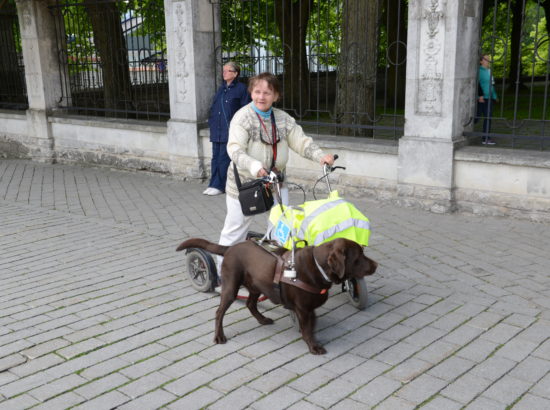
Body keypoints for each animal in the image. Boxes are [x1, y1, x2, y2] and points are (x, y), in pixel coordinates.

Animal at [178, 239, 380, 354]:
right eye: (359, 256)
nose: (376, 265)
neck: (318, 266)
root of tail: (230, 247)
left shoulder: (309, 308)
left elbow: (311, 324)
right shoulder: (303, 308)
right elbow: (307, 329)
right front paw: (313, 346)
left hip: (257, 285)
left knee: (250, 304)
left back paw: (262, 320)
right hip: (231, 287)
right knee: (219, 312)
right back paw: (219, 336)